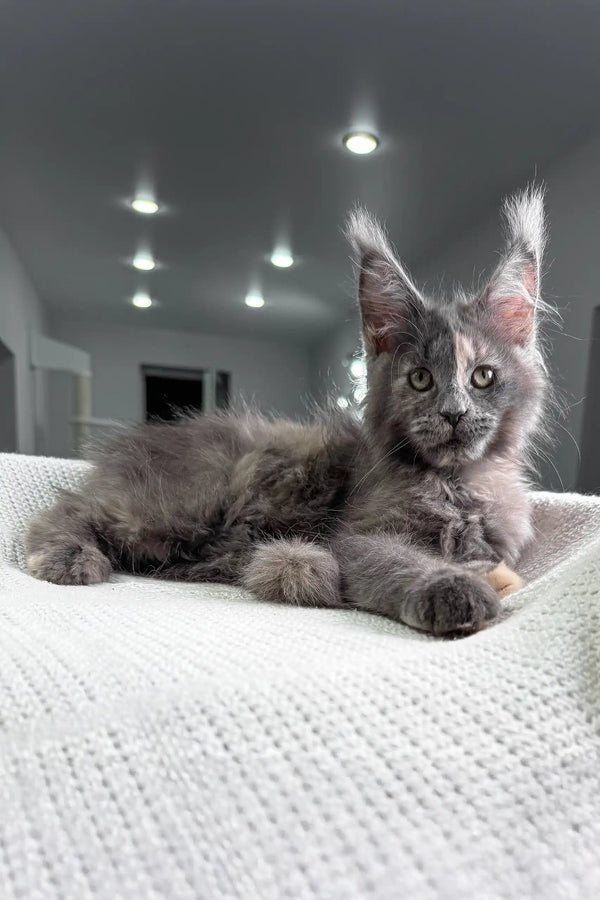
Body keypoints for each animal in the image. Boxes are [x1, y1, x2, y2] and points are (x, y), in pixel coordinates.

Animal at [24, 185, 548, 632]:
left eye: (483, 377)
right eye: (420, 379)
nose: (453, 413)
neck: (456, 485)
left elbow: (492, 562)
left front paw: (487, 575)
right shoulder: (355, 536)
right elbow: (399, 560)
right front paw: (453, 588)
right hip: (188, 499)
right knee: (68, 508)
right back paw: (67, 557)